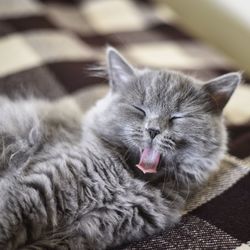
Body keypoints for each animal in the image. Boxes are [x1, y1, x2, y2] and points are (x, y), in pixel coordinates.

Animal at [0, 47, 240, 249]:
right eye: (139, 109)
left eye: (177, 117)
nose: (153, 130)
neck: (127, 182)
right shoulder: (36, 187)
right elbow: (8, 219)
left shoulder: (83, 232)